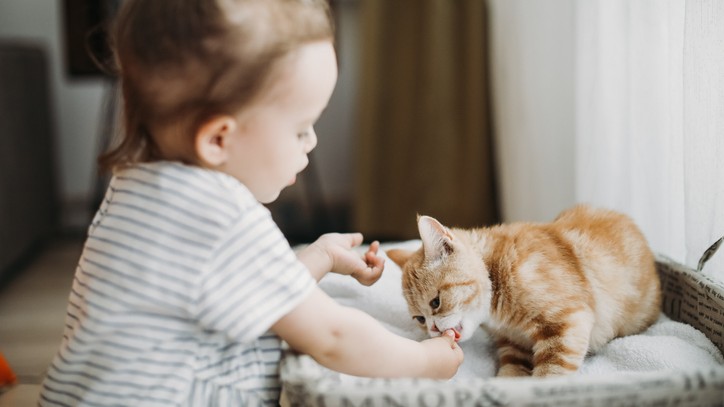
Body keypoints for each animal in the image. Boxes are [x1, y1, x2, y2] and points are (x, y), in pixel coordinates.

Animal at [390, 206, 660, 378]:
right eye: (420, 319)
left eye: (435, 302)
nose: (434, 330)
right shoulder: (513, 344)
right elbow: (512, 372)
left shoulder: (568, 324)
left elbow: (548, 378)